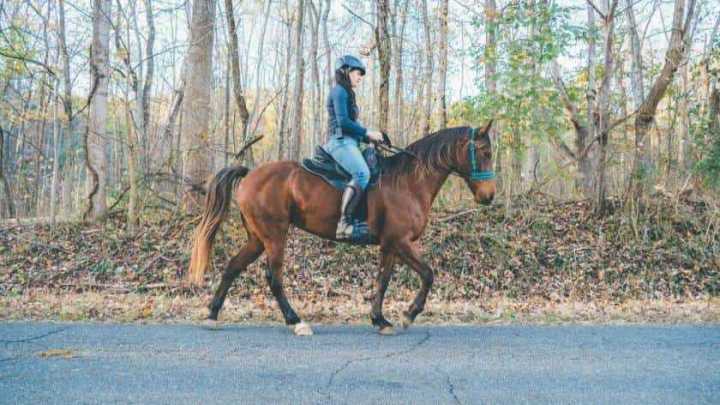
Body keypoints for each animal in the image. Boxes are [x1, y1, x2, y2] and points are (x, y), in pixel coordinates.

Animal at [188, 122, 498, 334]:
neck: (408, 182)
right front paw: (409, 315)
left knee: (233, 267)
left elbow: (383, 281)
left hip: (257, 238)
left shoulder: (390, 245)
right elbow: (428, 274)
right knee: (273, 278)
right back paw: (296, 321)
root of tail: (250, 174)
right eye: (484, 151)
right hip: (274, 235)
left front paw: (380, 319)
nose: (489, 196)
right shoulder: (402, 242)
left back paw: (213, 315)